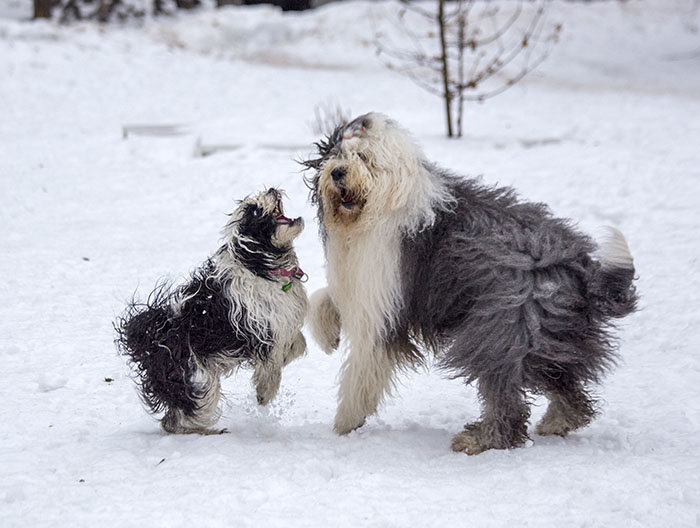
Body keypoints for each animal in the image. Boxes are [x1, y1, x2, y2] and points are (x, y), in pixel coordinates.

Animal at [116, 189, 308, 434]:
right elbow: (272, 363)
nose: (273, 189)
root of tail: (149, 337)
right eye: (254, 211)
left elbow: (298, 345)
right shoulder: (260, 331)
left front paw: (283, 361)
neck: (260, 267)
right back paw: (209, 432)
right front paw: (264, 392)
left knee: (170, 419)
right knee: (178, 420)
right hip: (198, 379)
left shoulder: (283, 325)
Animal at [304, 113, 636, 456]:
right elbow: (322, 297)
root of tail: (582, 268)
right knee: (563, 382)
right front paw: (327, 336)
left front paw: (345, 422)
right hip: (548, 333)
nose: (338, 172)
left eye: (363, 157)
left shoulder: (382, 298)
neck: (378, 205)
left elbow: (364, 364)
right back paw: (559, 421)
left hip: (503, 328)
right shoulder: (361, 282)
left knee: (505, 394)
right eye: (334, 156)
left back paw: (481, 439)